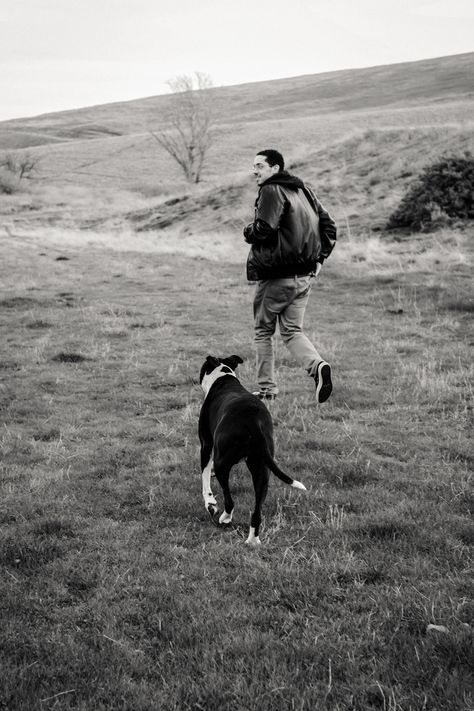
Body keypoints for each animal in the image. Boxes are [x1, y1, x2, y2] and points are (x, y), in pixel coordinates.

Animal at [197, 354, 306, 544]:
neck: (223, 379)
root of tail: (253, 422)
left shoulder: (206, 445)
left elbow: (205, 479)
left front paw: (210, 504)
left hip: (222, 463)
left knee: (229, 500)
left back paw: (225, 517)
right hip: (262, 470)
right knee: (256, 512)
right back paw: (252, 541)